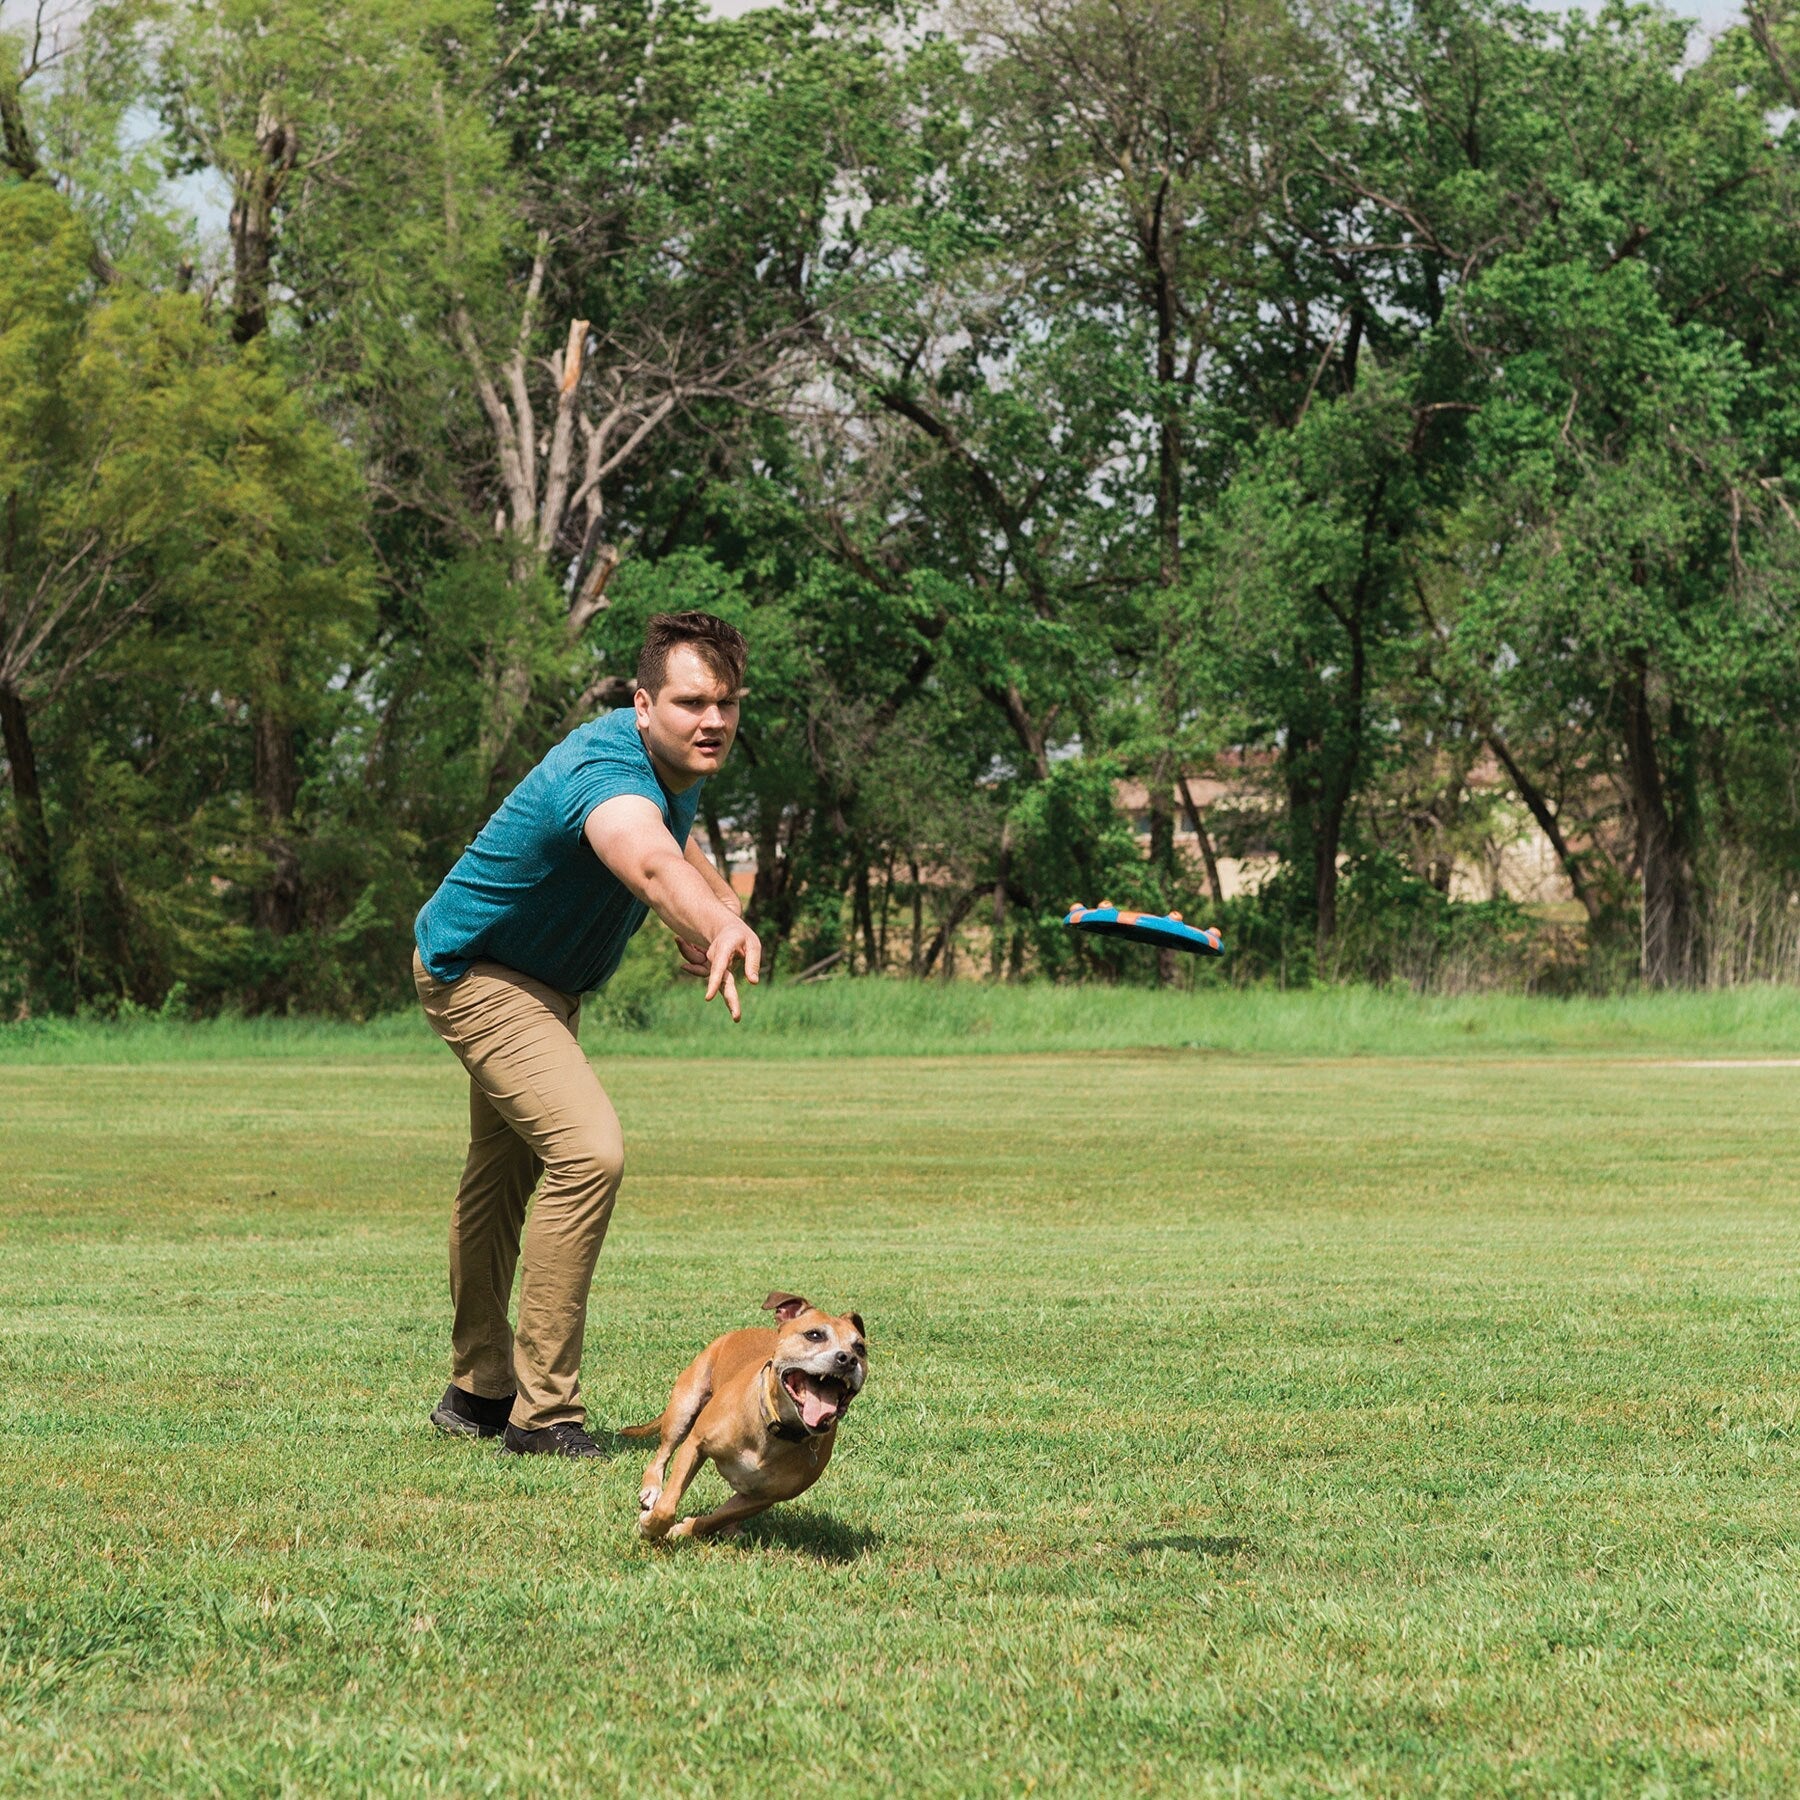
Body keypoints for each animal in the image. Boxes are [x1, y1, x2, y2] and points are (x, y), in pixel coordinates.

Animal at [622, 1288, 867, 1540]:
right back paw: (652, 1489)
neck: (774, 1426)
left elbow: (716, 1518)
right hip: (683, 1408)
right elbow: (667, 1507)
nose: (848, 1359)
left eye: (861, 1348)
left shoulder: (762, 1498)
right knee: (662, 1454)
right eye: (814, 1335)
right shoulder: (694, 1444)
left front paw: (683, 1529)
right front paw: (650, 1526)